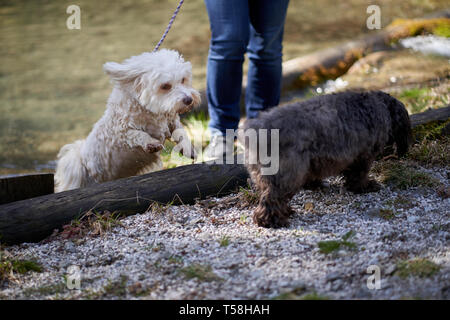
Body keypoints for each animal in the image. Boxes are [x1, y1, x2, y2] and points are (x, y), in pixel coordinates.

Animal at [53, 48, 200, 191]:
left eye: (183, 79)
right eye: (165, 86)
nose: (189, 100)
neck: (147, 109)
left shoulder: (171, 121)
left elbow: (181, 133)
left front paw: (188, 148)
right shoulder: (120, 133)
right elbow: (137, 134)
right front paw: (150, 143)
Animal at [243, 91, 412, 229]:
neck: (380, 106)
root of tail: (259, 132)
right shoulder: (363, 156)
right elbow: (359, 176)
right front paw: (364, 186)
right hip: (287, 175)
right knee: (271, 199)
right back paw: (272, 221)